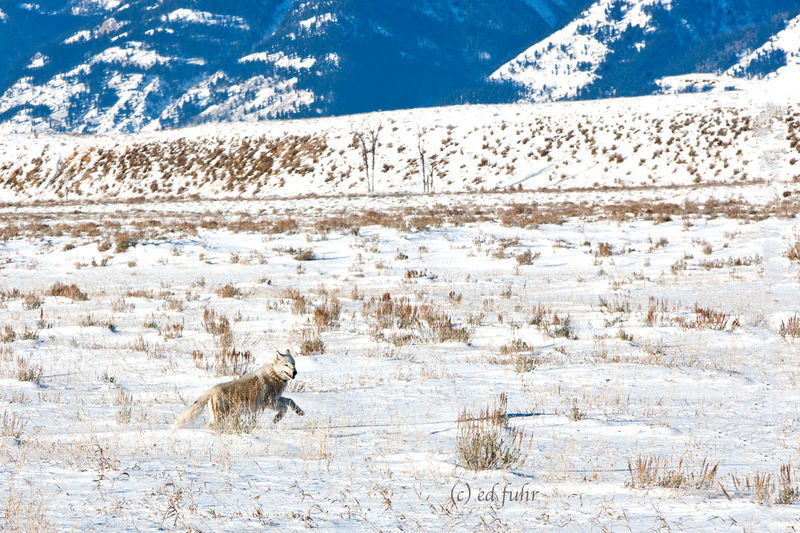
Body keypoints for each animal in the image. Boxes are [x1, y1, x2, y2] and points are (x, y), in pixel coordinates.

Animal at [173, 350, 304, 429]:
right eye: (286, 365)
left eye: (293, 364)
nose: (295, 372)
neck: (274, 376)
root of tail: (210, 390)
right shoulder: (269, 402)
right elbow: (284, 408)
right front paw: (276, 419)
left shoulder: (277, 398)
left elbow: (290, 400)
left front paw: (299, 411)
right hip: (220, 418)